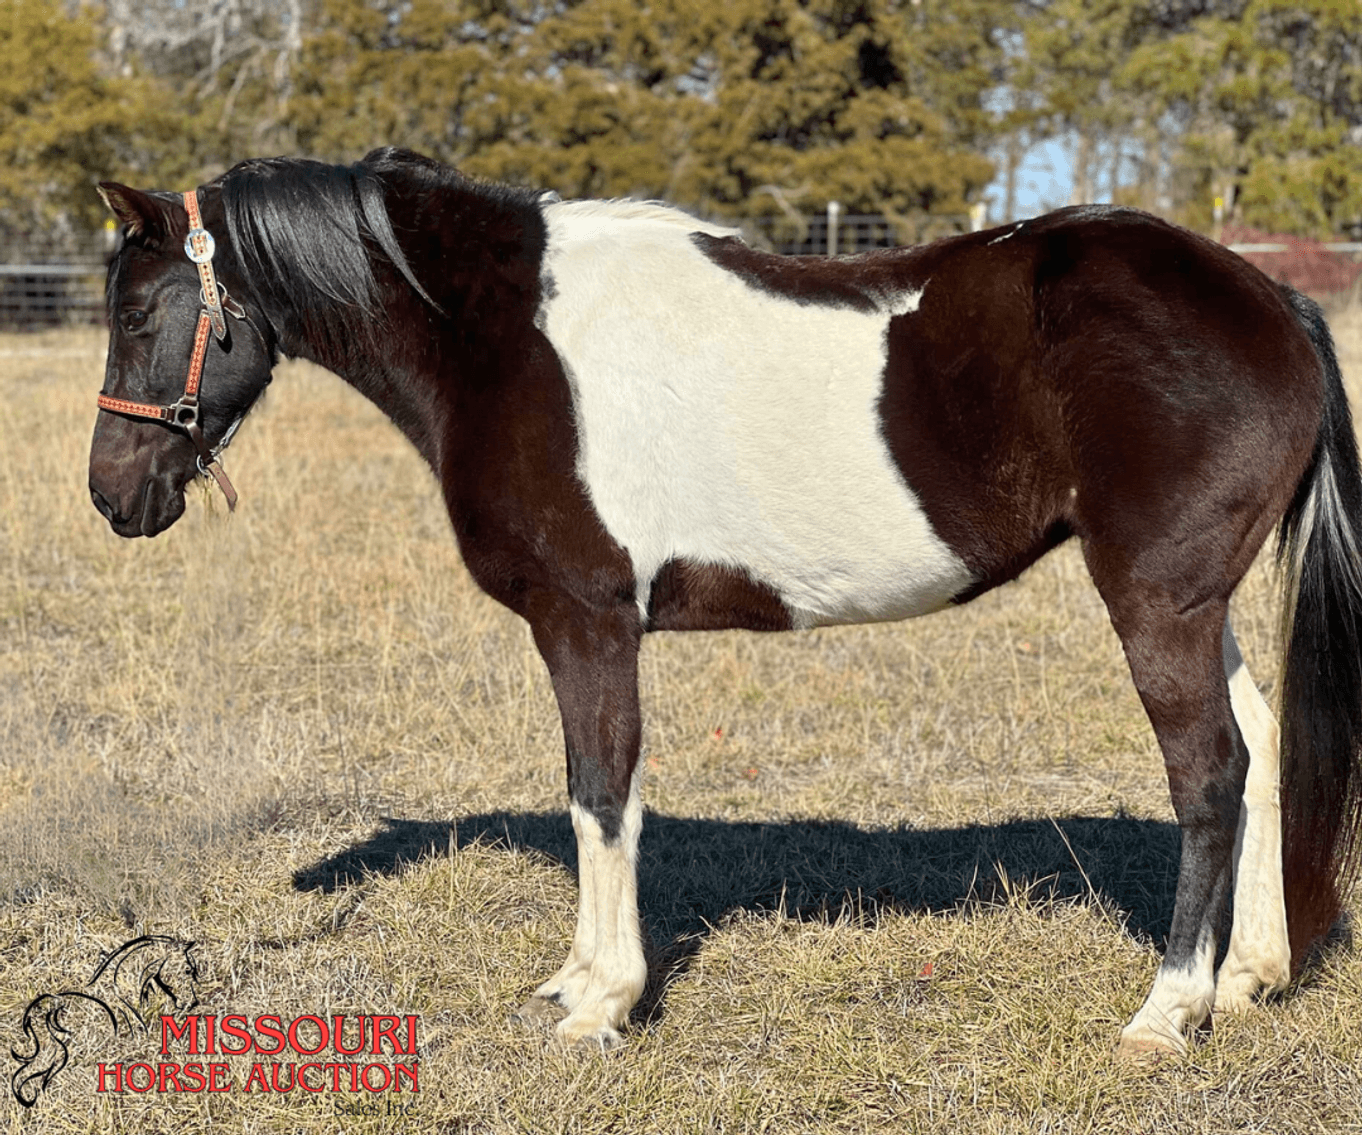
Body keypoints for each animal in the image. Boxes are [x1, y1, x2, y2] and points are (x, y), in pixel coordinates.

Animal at [88, 147, 1362, 1057]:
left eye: (143, 315)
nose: (112, 495)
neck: (505, 338)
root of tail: (1273, 299)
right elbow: (591, 793)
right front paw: (578, 979)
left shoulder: (588, 620)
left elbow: (602, 795)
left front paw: (602, 999)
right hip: (1197, 601)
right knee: (1259, 748)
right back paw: (1250, 976)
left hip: (1154, 600)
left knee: (1210, 772)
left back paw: (1168, 1011)